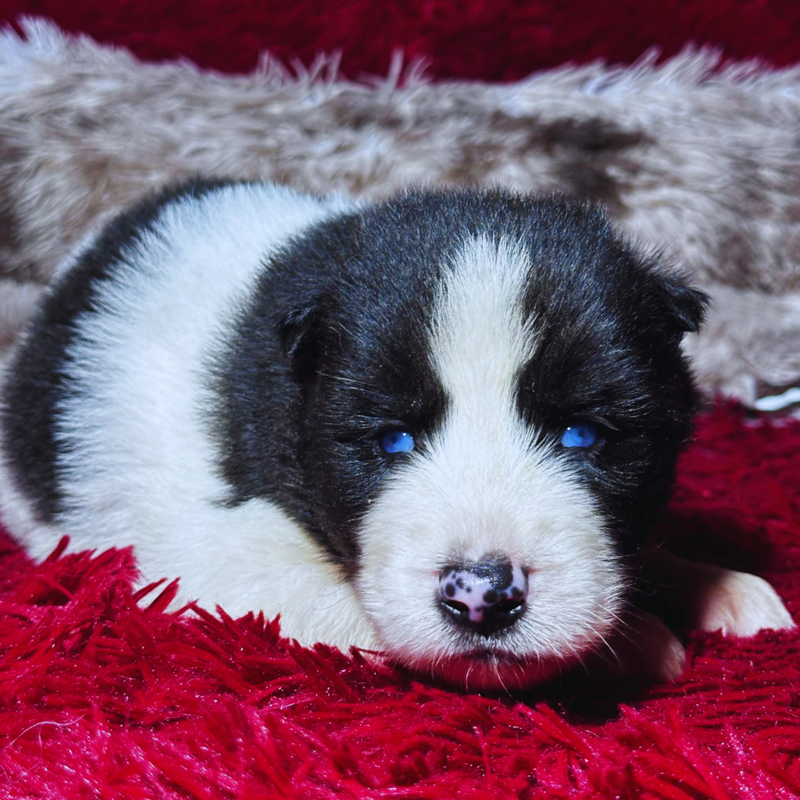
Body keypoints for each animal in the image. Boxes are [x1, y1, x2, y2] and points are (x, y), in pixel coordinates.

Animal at [0, 181, 792, 688]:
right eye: (392, 442)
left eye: (581, 435)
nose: (481, 596)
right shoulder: (199, 562)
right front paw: (641, 641)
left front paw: (719, 587)